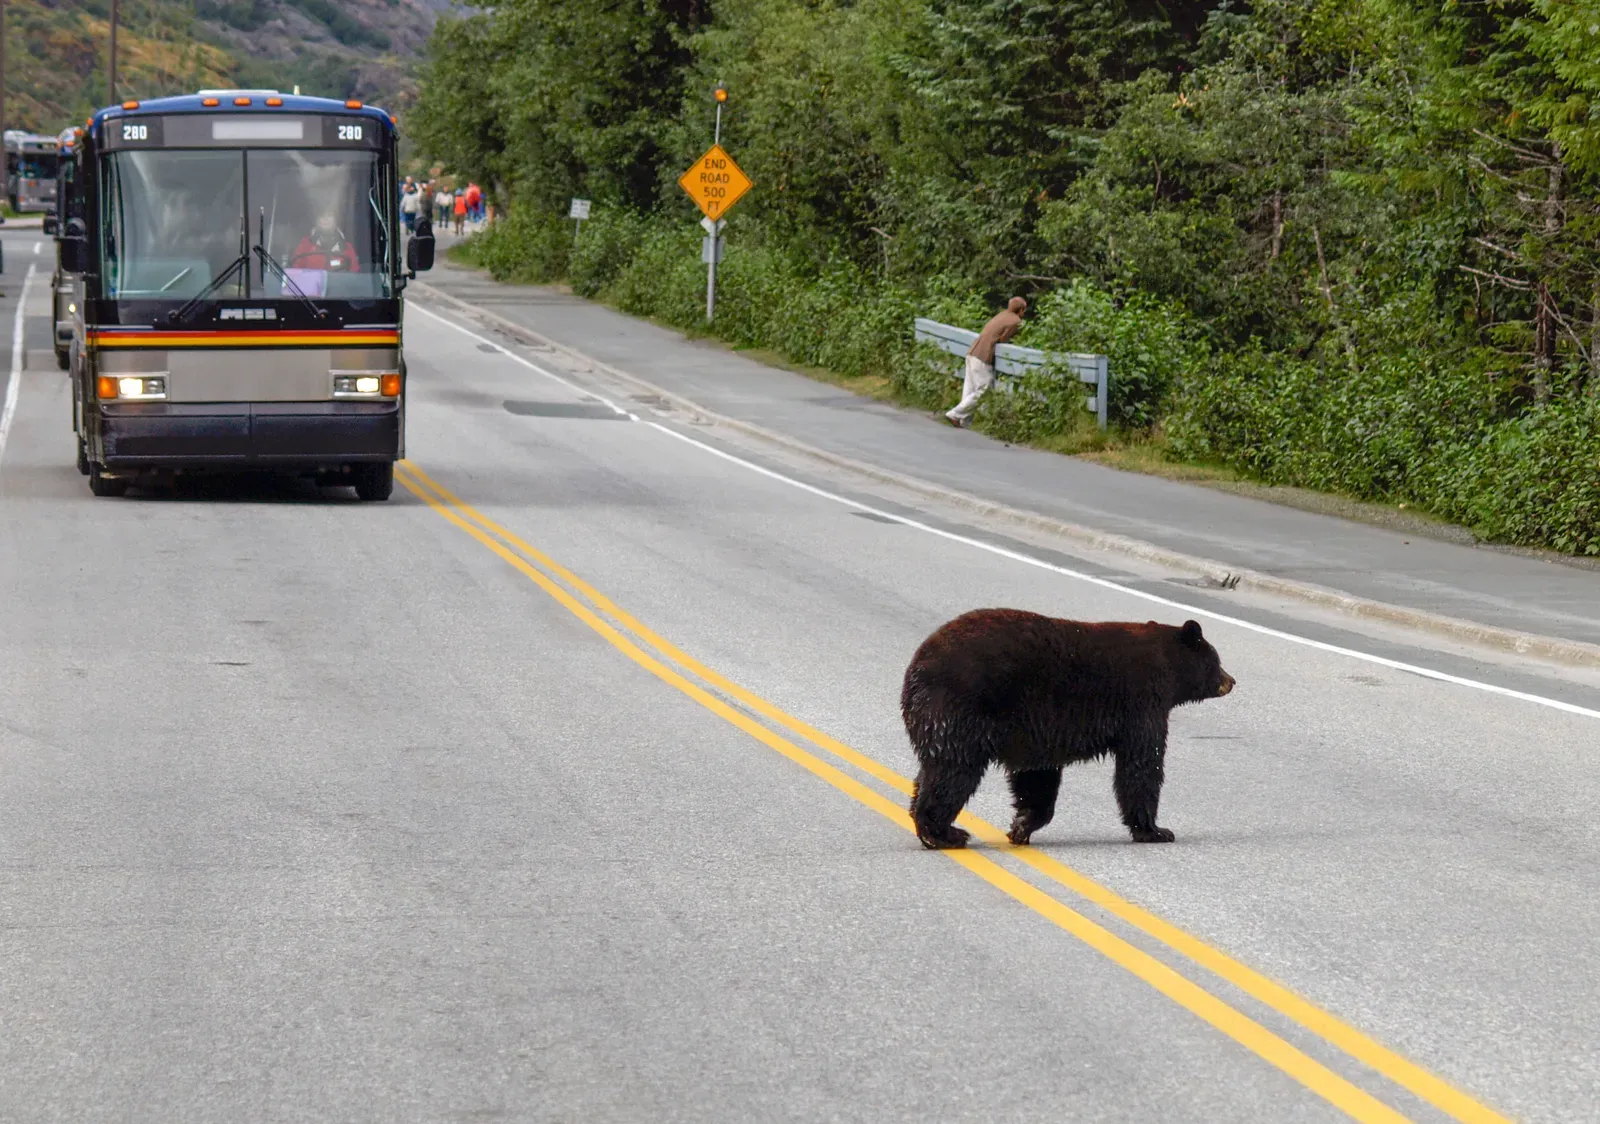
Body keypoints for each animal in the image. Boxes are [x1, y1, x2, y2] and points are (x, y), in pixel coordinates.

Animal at [900, 608, 1235, 849]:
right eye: (1216, 660)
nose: (1231, 680)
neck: (1166, 668)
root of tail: (915, 672)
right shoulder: (1141, 704)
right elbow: (1141, 765)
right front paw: (1156, 830)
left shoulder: (1038, 730)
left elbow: (1037, 776)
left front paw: (1021, 826)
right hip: (960, 713)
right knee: (954, 772)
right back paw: (944, 833)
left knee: (934, 770)